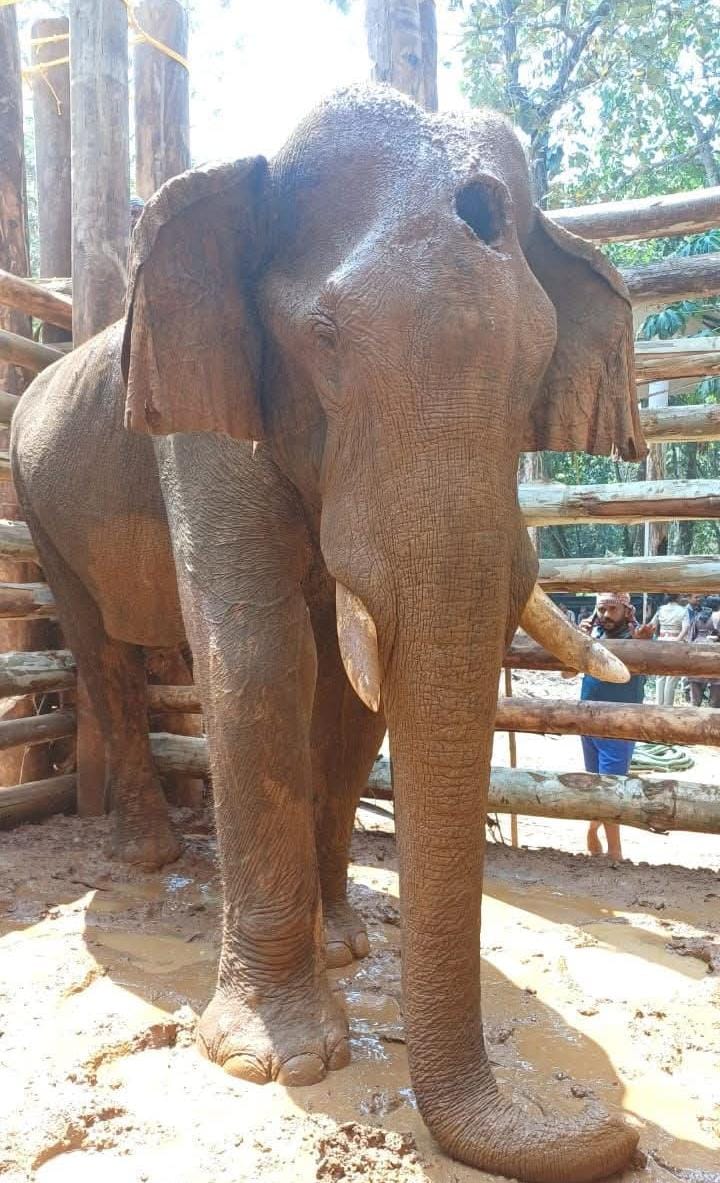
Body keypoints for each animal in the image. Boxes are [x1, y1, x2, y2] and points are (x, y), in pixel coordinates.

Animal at [12, 86, 646, 1183]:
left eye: (536, 361)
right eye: (323, 338)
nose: (621, 1132)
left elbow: (354, 695)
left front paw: (344, 944)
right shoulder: (201, 409)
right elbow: (258, 656)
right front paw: (280, 1060)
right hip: (40, 506)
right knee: (105, 659)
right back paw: (147, 856)